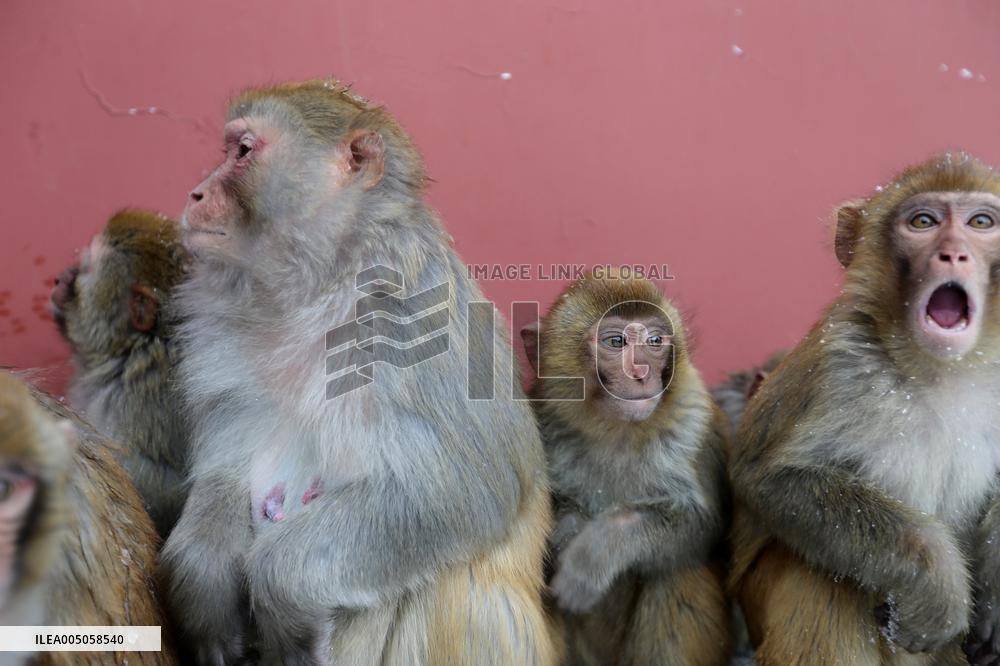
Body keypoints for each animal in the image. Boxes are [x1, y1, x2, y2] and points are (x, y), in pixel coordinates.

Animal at [158, 79, 556, 665]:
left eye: (243, 151)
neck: (319, 289)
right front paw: (201, 576)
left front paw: (279, 589)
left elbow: (459, 493)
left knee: (450, 587)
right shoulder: (224, 342)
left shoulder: (417, 330)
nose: (195, 193)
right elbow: (226, 466)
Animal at [521, 272, 731, 666]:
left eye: (654, 341)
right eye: (616, 342)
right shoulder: (543, 418)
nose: (642, 371)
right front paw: (570, 531)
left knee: (674, 570)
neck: (619, 432)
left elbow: (701, 527)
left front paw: (596, 552)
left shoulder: (694, 422)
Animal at [728, 152, 1000, 665]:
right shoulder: (840, 364)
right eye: (923, 222)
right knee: (816, 578)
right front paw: (935, 578)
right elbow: (771, 479)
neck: (940, 370)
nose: (954, 254)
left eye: (981, 223)